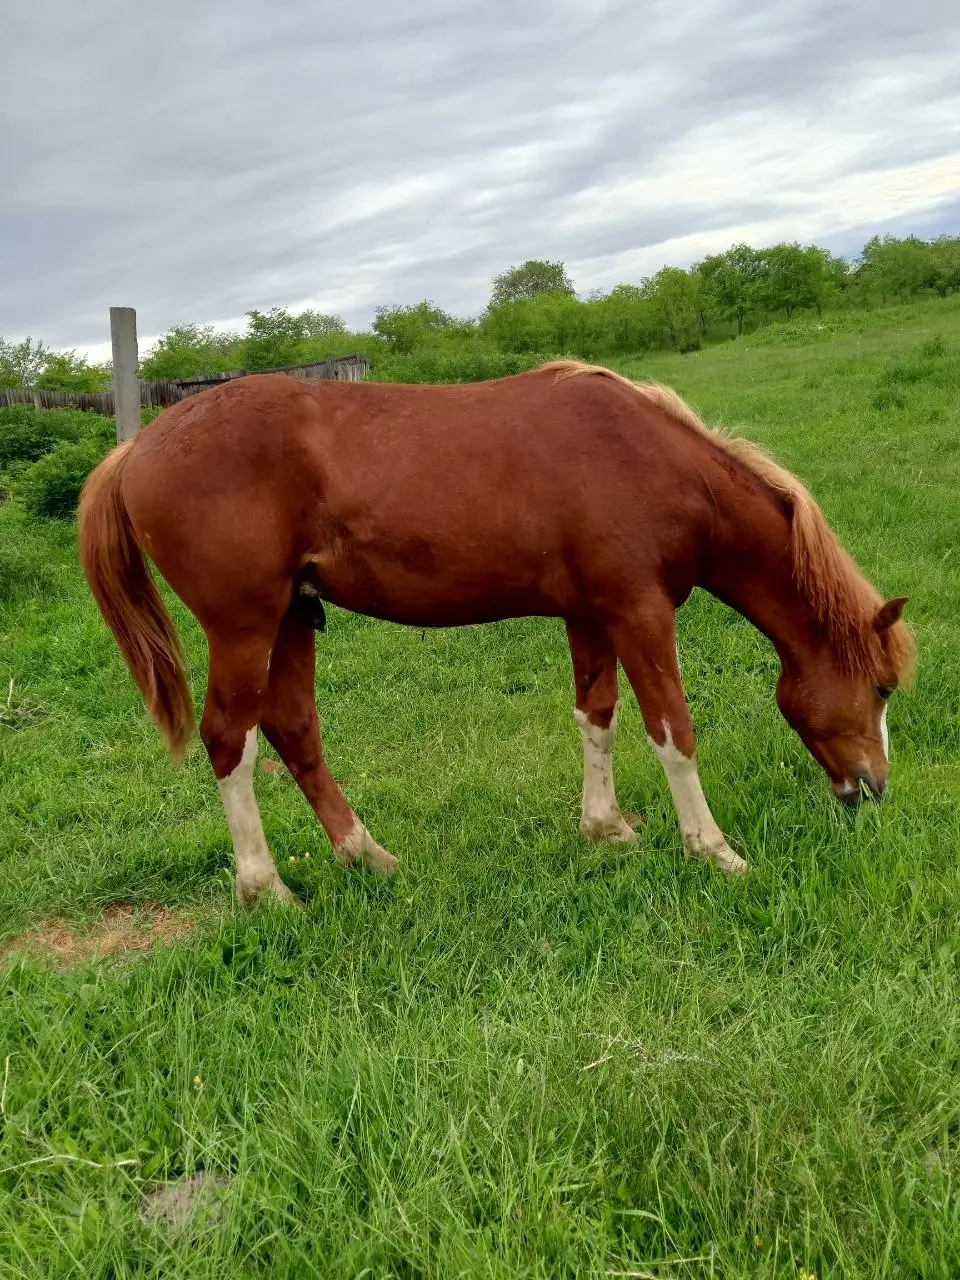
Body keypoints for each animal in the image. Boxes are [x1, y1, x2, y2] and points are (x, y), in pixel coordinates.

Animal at [78, 360, 914, 905]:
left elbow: (597, 715)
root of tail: (137, 448)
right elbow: (673, 731)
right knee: (232, 741)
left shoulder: (592, 614)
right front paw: (713, 852)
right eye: (879, 687)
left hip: (292, 619)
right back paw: (267, 889)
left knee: (294, 730)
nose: (872, 789)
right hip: (244, 627)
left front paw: (606, 828)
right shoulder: (640, 612)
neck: (652, 461)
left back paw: (367, 856)